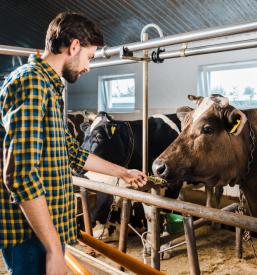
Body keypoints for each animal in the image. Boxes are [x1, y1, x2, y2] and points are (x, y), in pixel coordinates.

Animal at [83, 111, 181, 258]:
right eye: (84, 135)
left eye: (99, 136)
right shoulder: (145, 188)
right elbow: (150, 216)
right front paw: (149, 245)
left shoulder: (173, 186)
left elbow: (165, 212)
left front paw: (164, 247)